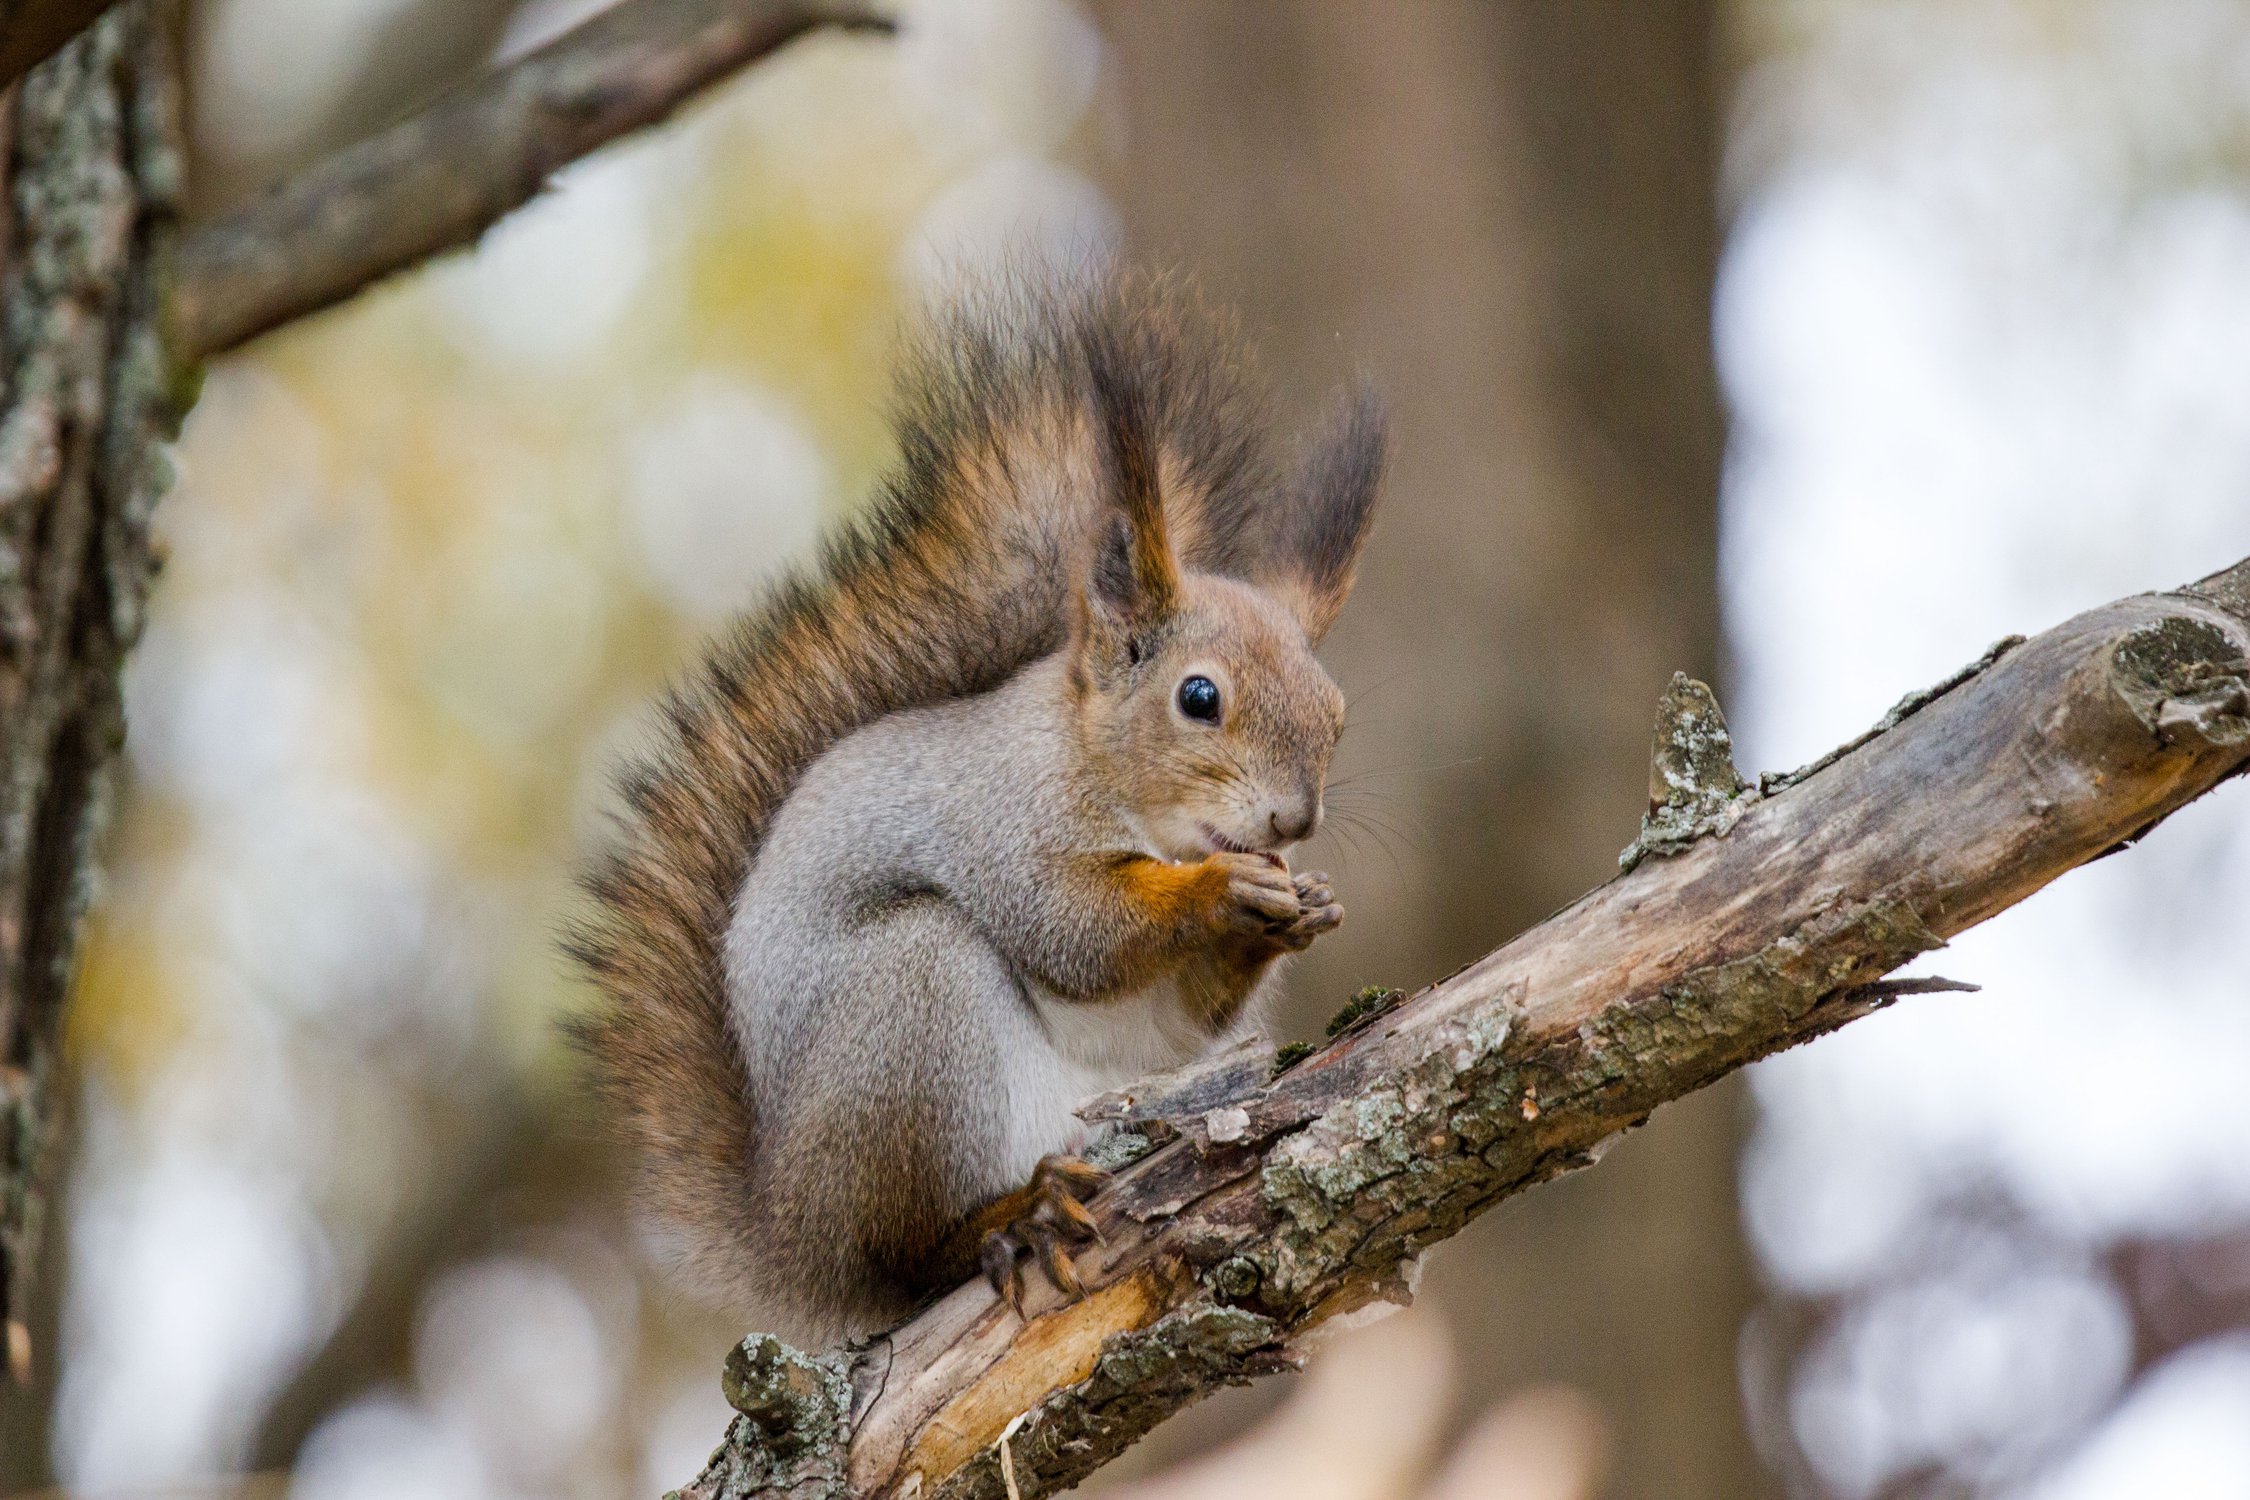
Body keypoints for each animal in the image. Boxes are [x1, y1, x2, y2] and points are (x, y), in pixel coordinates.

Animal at [571, 273, 1377, 1349]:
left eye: (1336, 712)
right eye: (1199, 697)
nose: (1295, 824)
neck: (1101, 772)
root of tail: (794, 1231)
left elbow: (1176, 1020)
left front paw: (1305, 909)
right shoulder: (1002, 820)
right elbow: (1073, 928)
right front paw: (1217, 891)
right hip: (913, 1013)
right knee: (911, 1250)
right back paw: (1012, 1217)